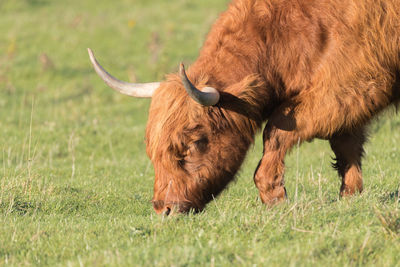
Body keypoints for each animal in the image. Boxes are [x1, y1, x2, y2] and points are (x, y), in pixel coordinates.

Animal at [89, 0, 400, 215]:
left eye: (193, 143)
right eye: (152, 152)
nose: (164, 210)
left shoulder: (353, 84)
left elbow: (277, 131)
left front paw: (273, 196)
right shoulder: (347, 99)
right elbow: (346, 146)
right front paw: (350, 195)